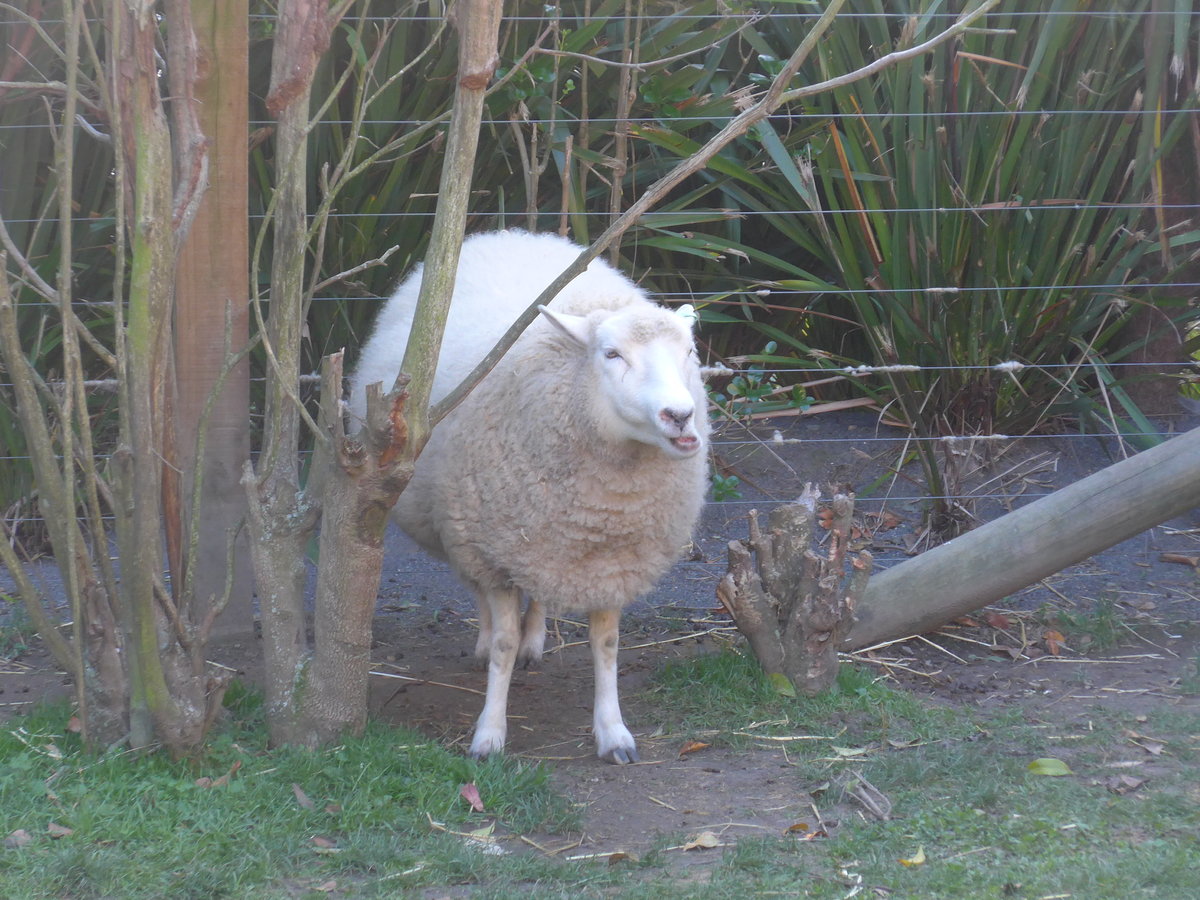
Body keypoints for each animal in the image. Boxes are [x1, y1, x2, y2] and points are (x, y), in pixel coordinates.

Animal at [350, 229, 710, 764]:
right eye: (611, 354)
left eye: (688, 352)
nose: (680, 416)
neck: (603, 507)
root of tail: (508, 235)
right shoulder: (491, 550)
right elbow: (503, 641)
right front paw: (489, 734)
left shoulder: (612, 562)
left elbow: (606, 644)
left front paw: (613, 731)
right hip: (465, 530)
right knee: (482, 600)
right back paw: (489, 643)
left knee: (537, 594)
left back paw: (535, 640)